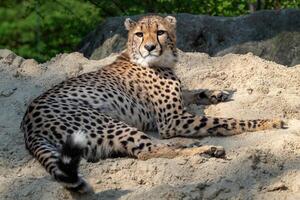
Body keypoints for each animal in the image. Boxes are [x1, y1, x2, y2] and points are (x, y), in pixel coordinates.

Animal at [20, 14, 284, 193]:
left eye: (160, 32)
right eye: (139, 34)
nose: (149, 47)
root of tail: (28, 126)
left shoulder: (178, 104)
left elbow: (191, 91)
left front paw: (217, 92)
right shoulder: (173, 120)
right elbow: (227, 121)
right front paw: (267, 121)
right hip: (109, 124)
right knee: (150, 151)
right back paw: (205, 150)